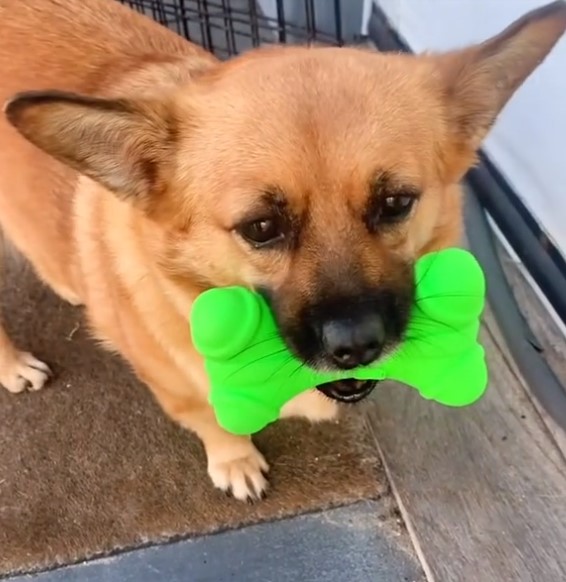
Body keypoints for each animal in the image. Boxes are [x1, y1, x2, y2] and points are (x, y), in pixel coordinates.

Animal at [0, 0, 564, 502]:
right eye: (262, 227)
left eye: (395, 203)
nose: (358, 347)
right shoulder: (180, 393)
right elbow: (214, 425)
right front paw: (235, 461)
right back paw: (14, 366)